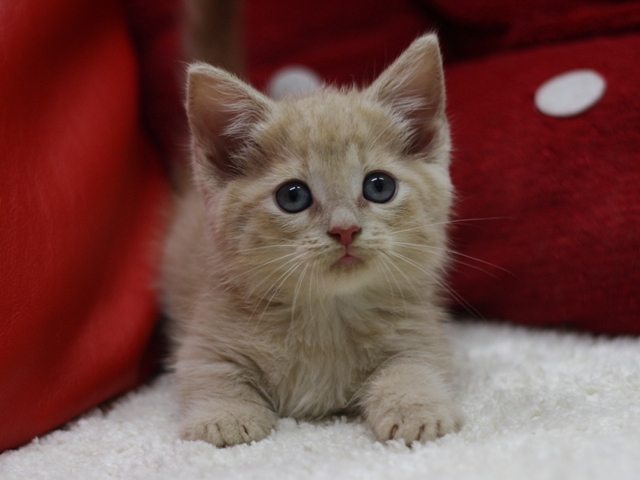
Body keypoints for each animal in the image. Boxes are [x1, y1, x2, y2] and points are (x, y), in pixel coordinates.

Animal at [159, 33, 460, 446]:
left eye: (379, 186)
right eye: (293, 196)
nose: (345, 229)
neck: (327, 314)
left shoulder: (421, 332)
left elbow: (412, 366)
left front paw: (416, 408)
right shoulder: (205, 336)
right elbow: (211, 374)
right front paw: (225, 417)